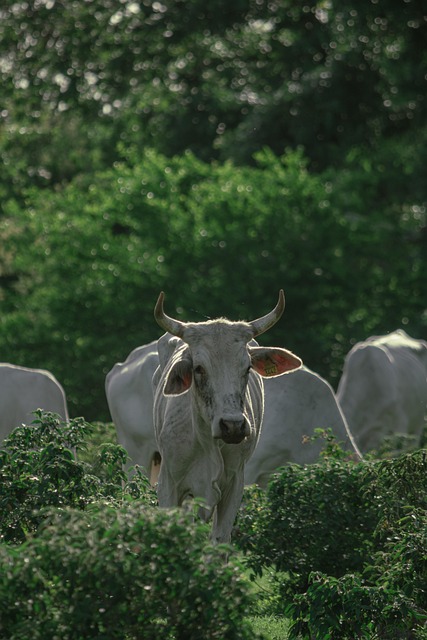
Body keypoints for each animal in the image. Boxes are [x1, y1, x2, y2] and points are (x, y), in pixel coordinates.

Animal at [152, 290, 302, 543]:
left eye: (248, 367)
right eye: (199, 368)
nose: (232, 426)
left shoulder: (234, 485)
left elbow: (220, 540)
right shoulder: (169, 483)